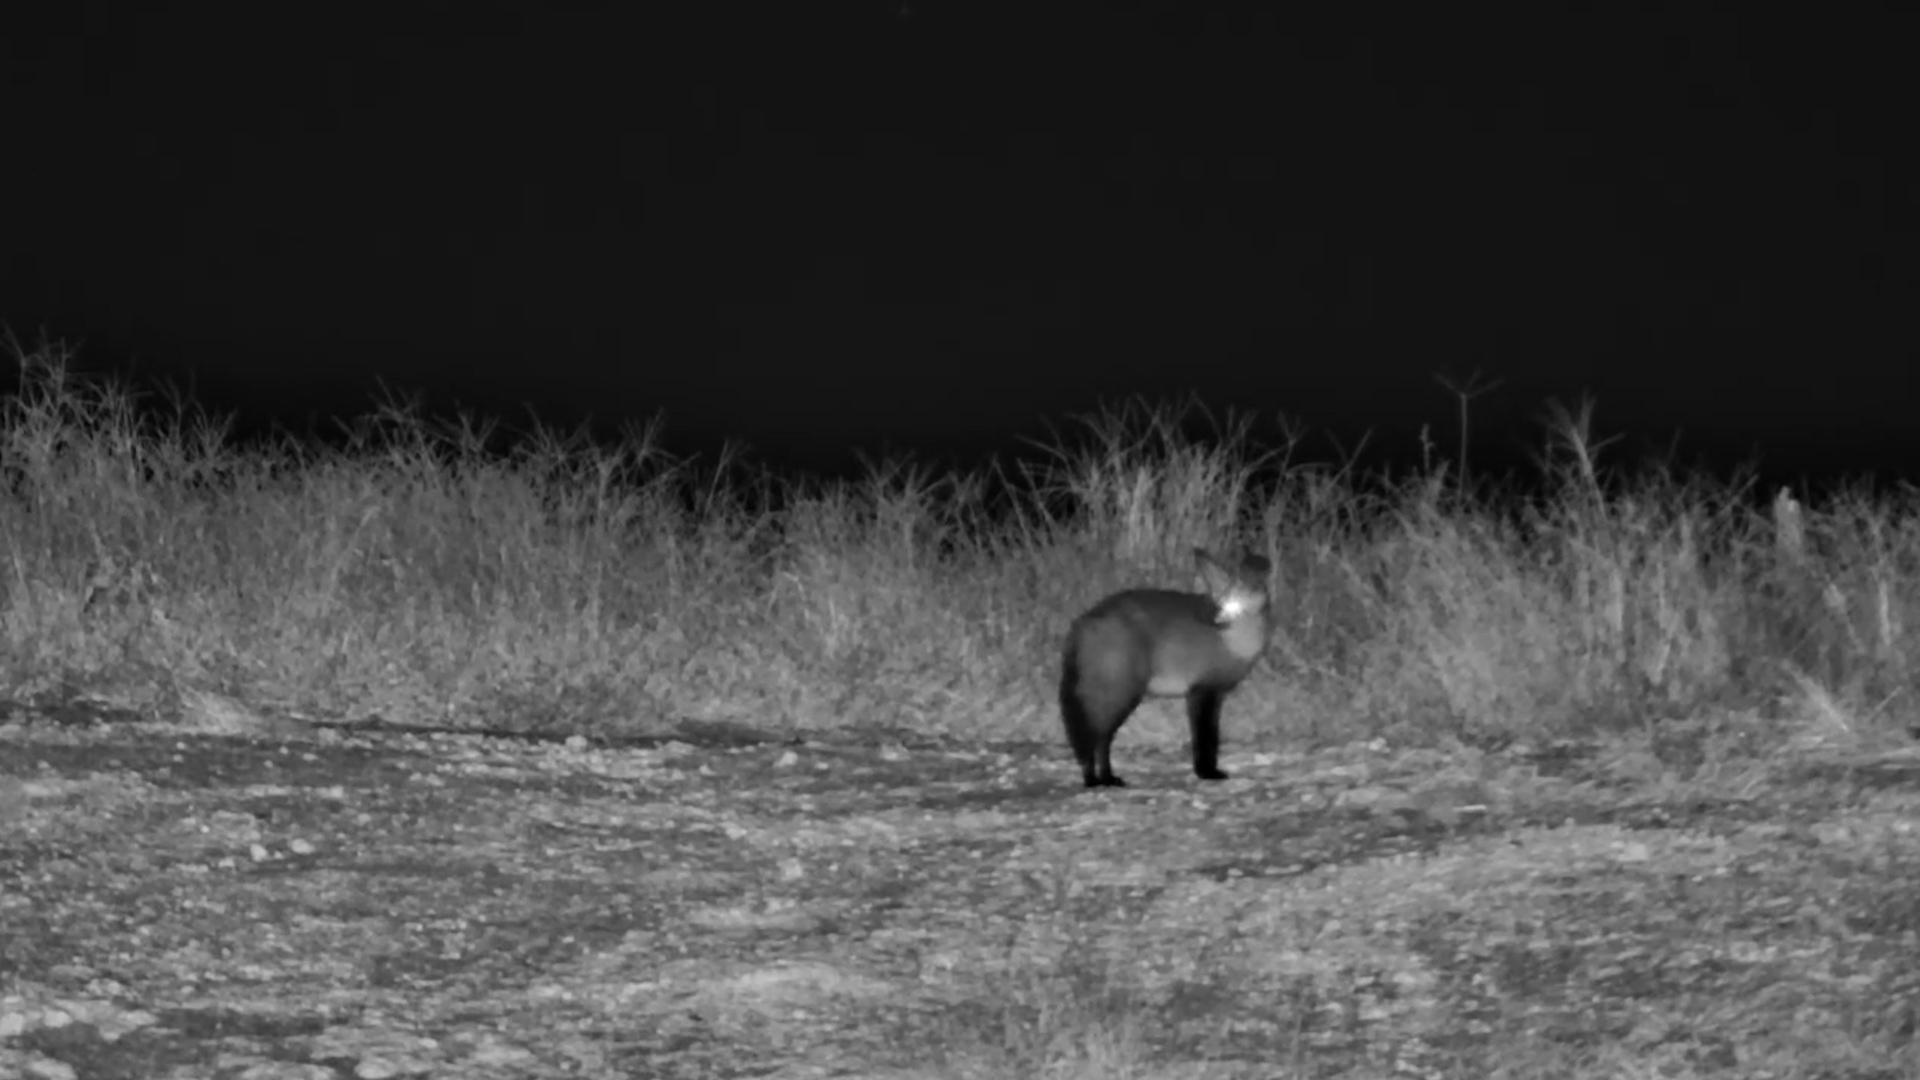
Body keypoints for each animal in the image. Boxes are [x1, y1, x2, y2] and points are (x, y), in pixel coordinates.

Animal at [1058, 547, 1274, 788]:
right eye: (1220, 599)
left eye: (1237, 600)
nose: (1215, 618)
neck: (1234, 644)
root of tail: (1081, 623)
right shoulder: (1201, 692)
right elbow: (1204, 740)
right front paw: (1206, 773)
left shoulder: (1215, 694)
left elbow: (1210, 738)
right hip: (1119, 696)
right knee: (1095, 737)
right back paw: (1095, 780)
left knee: (1098, 739)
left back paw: (1104, 778)